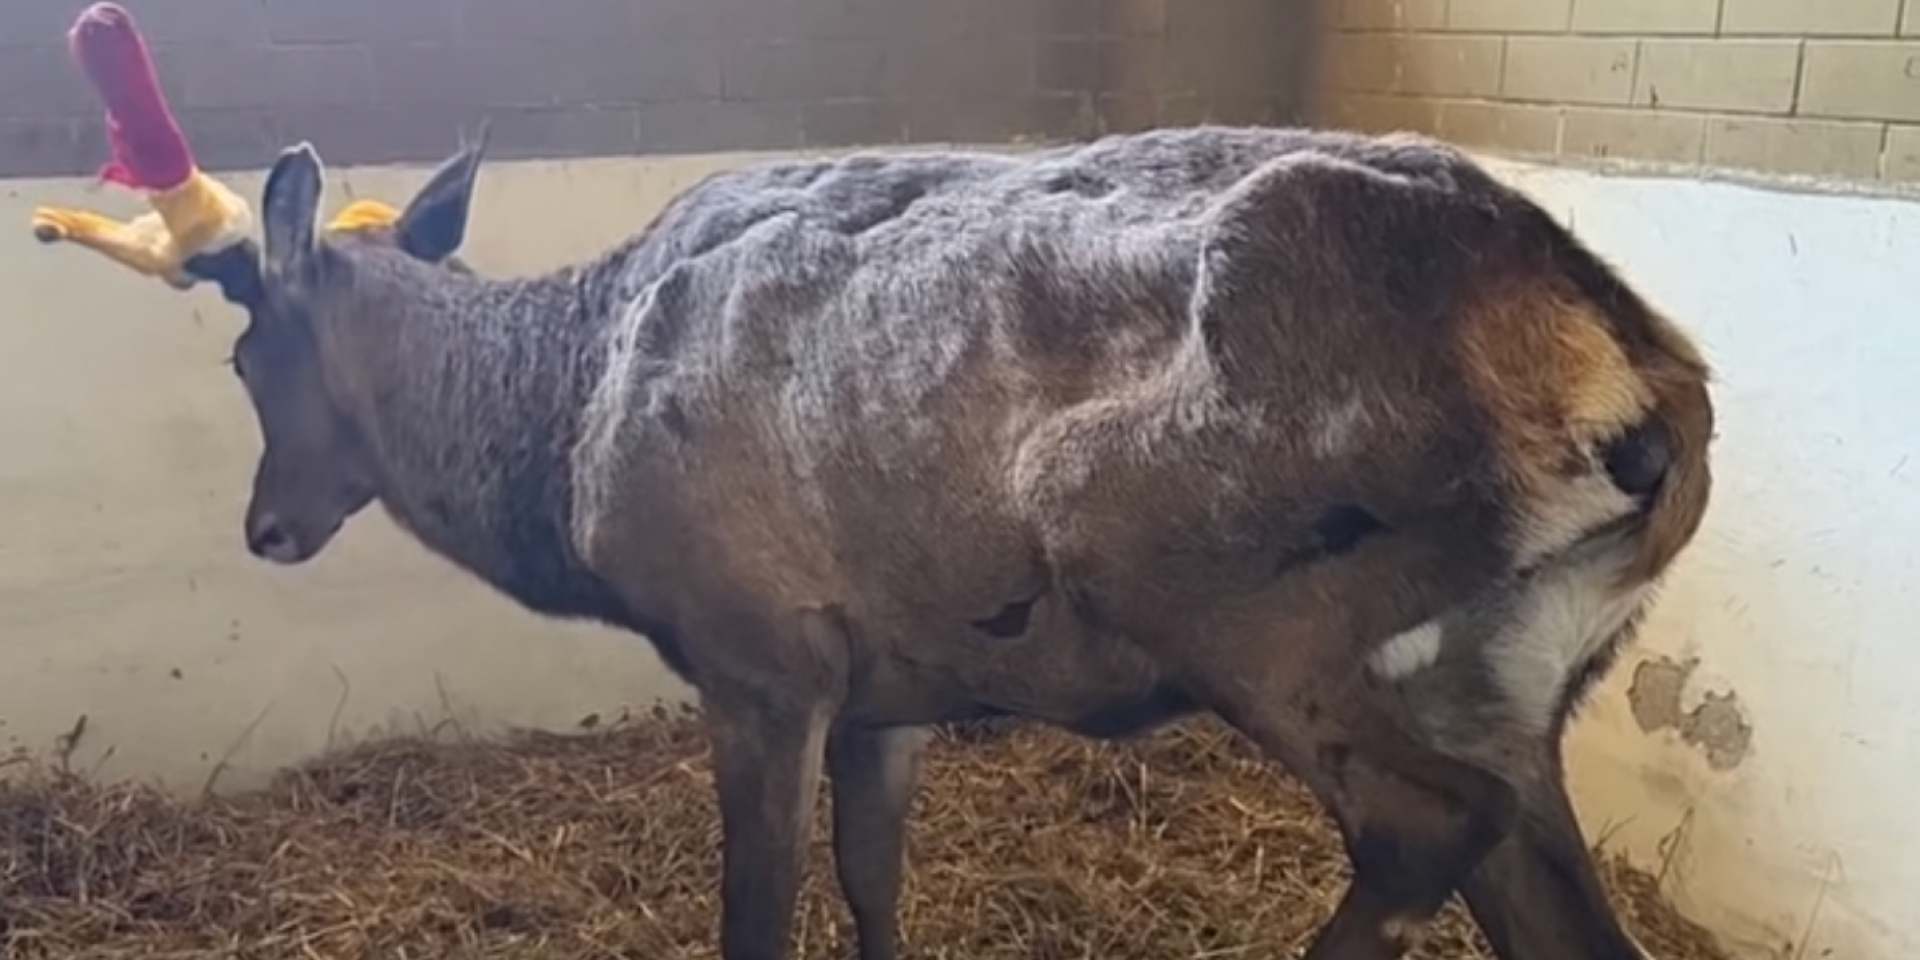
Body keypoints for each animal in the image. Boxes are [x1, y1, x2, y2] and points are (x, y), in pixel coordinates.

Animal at [164, 123, 1712, 960]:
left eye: (244, 354)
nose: (266, 526)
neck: (565, 445)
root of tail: (1637, 386)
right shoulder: (892, 679)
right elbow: (872, 880)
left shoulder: (760, 652)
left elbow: (758, 908)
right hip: (1509, 681)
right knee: (1552, 901)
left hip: (1222, 593)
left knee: (1421, 824)